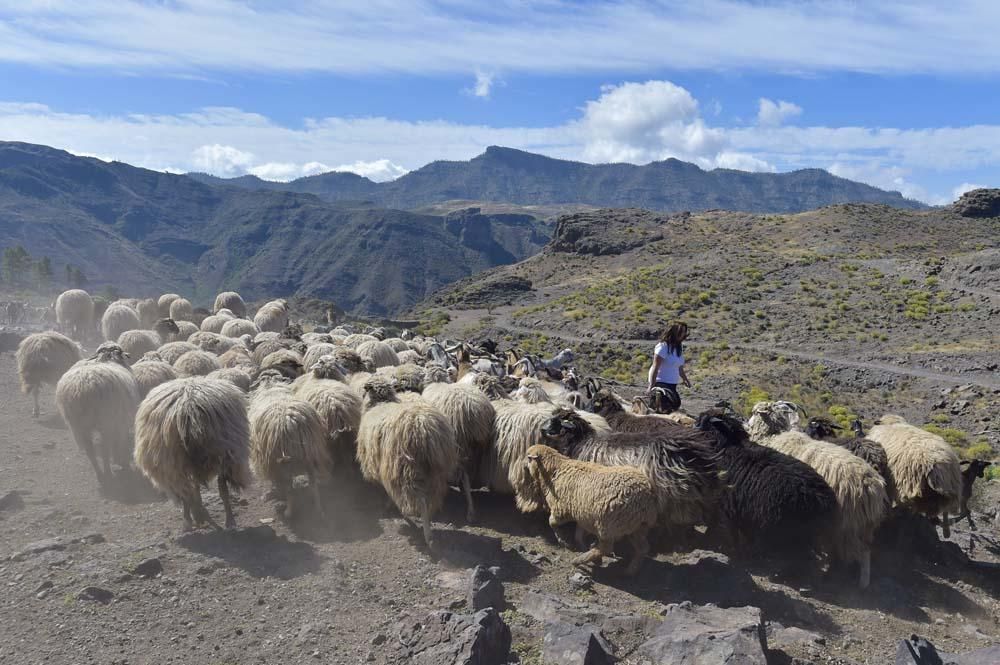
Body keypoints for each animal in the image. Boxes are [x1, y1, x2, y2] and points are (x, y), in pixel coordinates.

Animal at [55, 342, 141, 488]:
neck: (108, 358)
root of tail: (82, 387)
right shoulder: (120, 421)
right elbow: (120, 441)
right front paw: (121, 460)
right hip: (104, 420)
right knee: (105, 449)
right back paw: (107, 471)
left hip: (78, 425)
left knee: (90, 451)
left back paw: (100, 475)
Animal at [134, 376, 252, 528]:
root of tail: (189, 409)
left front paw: (196, 515)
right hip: (221, 452)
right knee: (214, 487)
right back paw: (221, 519)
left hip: (174, 460)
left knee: (188, 490)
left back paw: (193, 519)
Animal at [356, 376, 460, 548]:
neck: (380, 403)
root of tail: (424, 427)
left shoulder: (382, 464)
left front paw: (388, 505)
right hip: (435, 469)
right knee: (432, 497)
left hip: (406, 467)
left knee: (421, 500)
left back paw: (427, 536)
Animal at [516, 444, 656, 572]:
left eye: (528, 457)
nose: (522, 467)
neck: (555, 470)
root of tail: (646, 495)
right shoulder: (582, 515)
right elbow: (578, 534)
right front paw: (581, 546)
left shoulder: (561, 510)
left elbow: (552, 523)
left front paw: (563, 541)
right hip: (637, 526)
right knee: (643, 548)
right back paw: (631, 569)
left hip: (609, 525)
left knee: (606, 548)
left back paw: (581, 560)